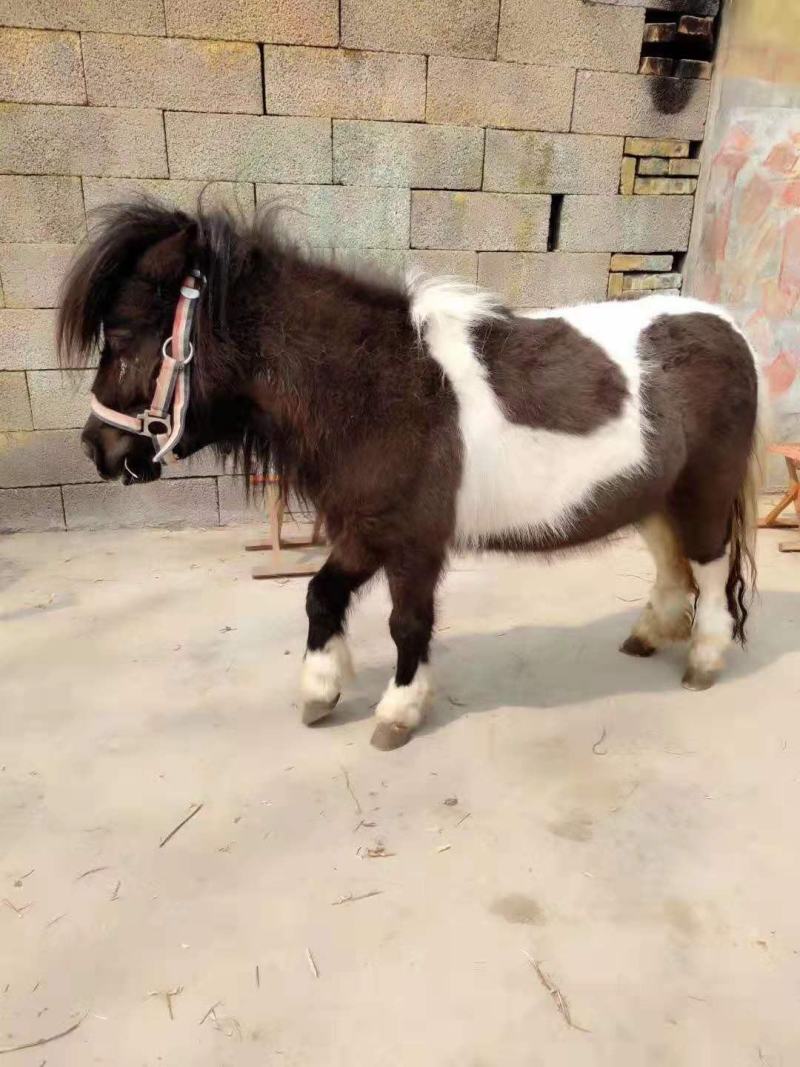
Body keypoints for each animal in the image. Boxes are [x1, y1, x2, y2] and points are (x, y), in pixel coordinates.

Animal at [58, 200, 765, 750]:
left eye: (124, 338)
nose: (96, 448)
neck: (376, 388)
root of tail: (730, 328)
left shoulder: (413, 542)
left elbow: (407, 623)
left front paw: (398, 711)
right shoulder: (365, 529)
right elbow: (320, 596)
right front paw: (321, 689)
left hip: (703, 493)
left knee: (707, 569)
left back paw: (704, 658)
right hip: (654, 498)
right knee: (672, 566)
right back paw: (649, 635)